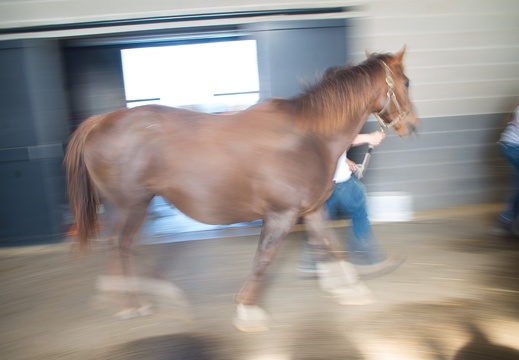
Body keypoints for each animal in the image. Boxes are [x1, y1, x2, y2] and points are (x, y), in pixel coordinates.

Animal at [65, 47, 420, 332]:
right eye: (405, 82)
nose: (413, 125)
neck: (308, 137)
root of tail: (101, 121)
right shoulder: (280, 214)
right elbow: (263, 258)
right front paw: (248, 311)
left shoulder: (312, 209)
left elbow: (329, 246)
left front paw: (350, 290)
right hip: (132, 204)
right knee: (120, 244)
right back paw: (135, 301)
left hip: (129, 205)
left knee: (121, 245)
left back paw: (135, 297)